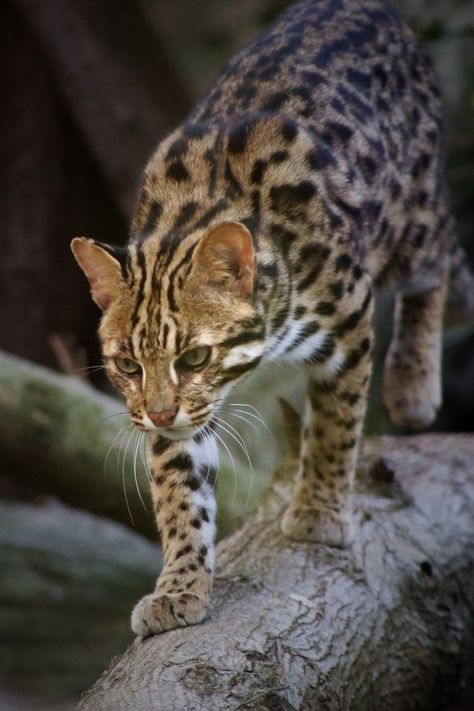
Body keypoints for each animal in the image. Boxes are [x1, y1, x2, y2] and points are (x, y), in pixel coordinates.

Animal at [71, 0, 474, 636]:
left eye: (195, 356)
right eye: (128, 366)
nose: (158, 415)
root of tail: (369, 8)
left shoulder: (350, 319)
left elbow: (338, 422)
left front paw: (319, 510)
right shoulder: (179, 419)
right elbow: (179, 489)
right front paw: (179, 584)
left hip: (406, 214)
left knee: (434, 259)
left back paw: (412, 383)